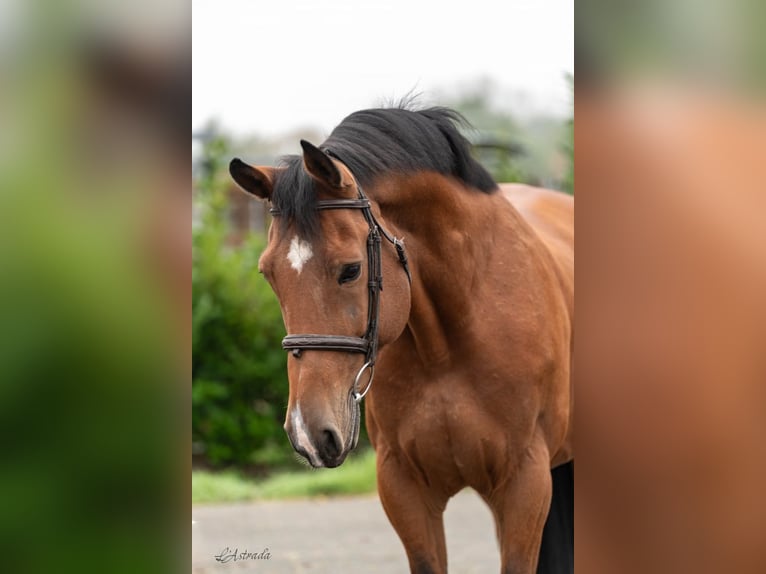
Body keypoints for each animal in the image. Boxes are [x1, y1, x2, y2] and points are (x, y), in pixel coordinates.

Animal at [231, 108, 572, 574]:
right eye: (268, 273)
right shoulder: (403, 488)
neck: (447, 348)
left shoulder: (524, 484)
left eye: (352, 269)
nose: (308, 433)